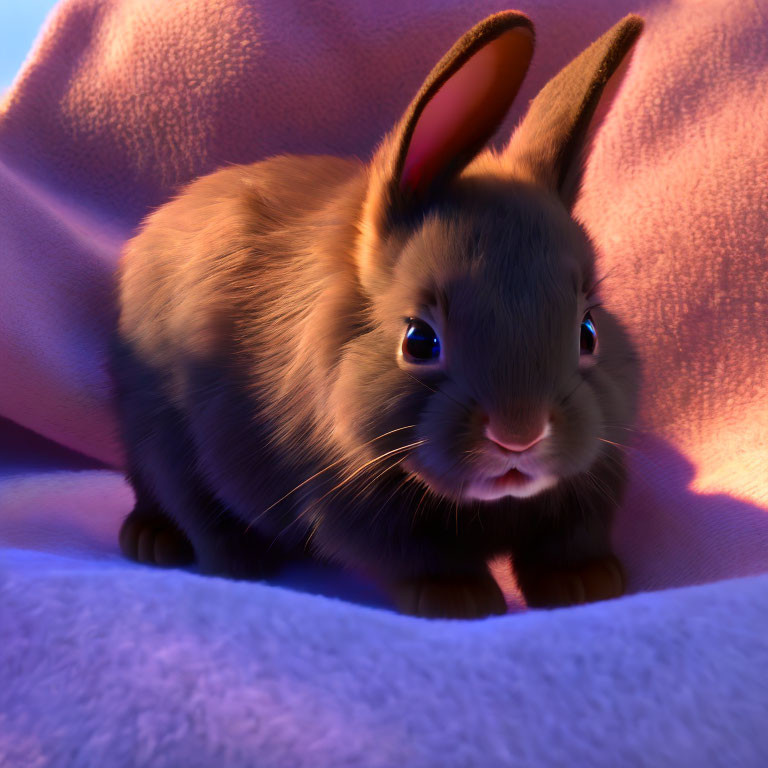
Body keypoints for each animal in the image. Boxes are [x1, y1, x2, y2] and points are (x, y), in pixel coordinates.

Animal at [111, 12, 640, 616]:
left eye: (588, 332)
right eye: (419, 341)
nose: (518, 434)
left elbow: (568, 539)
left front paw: (586, 585)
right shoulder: (349, 496)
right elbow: (415, 553)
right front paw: (460, 600)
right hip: (158, 428)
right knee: (179, 497)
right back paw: (190, 550)